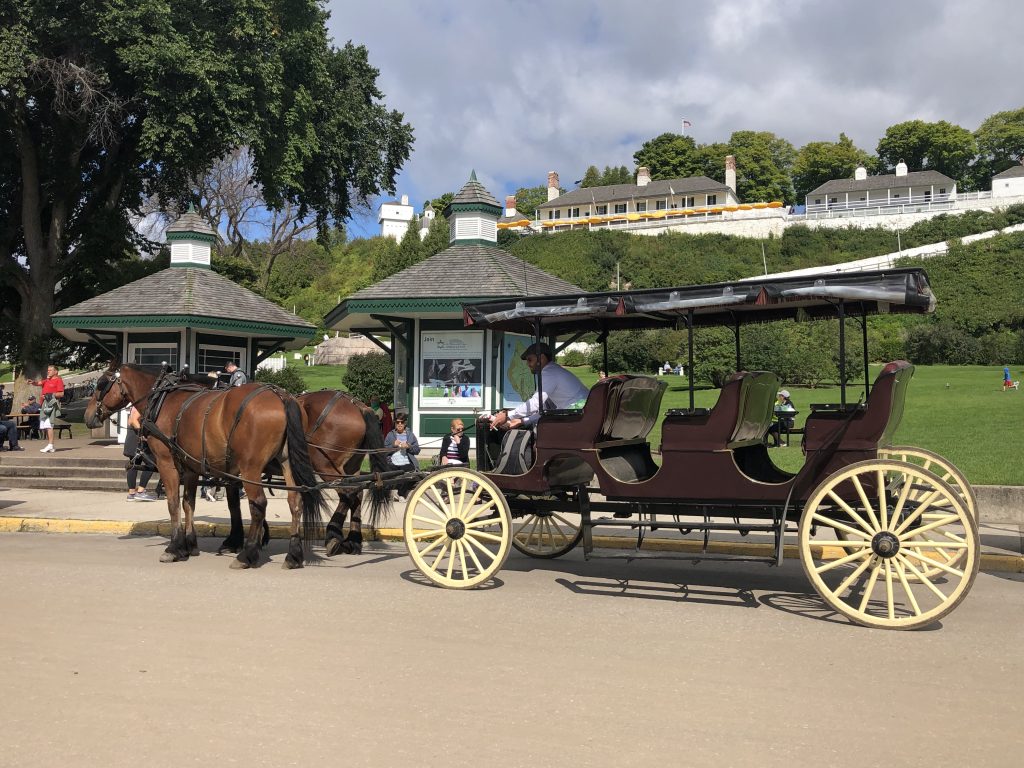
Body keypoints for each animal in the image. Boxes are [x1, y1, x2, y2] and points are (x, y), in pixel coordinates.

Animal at [89, 364, 327, 569]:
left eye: (100, 384)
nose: (88, 415)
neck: (162, 399)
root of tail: (281, 395)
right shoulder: (191, 467)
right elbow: (189, 503)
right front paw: (189, 545)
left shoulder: (167, 463)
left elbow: (173, 503)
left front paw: (173, 548)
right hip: (286, 463)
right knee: (295, 501)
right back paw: (293, 555)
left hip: (250, 467)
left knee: (258, 504)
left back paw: (247, 554)